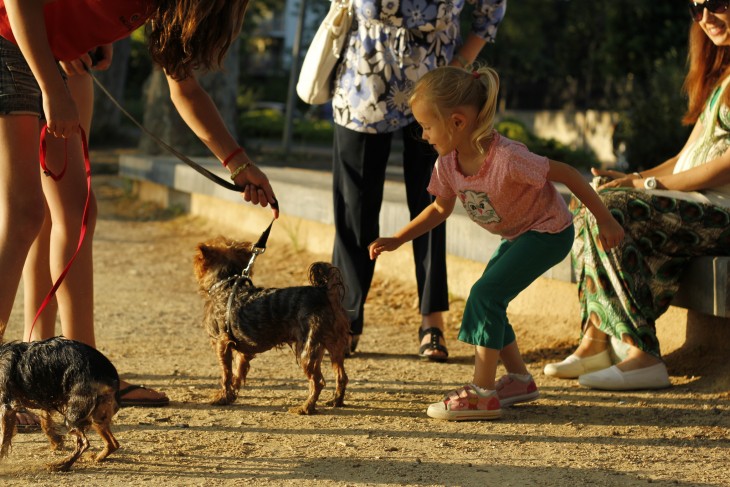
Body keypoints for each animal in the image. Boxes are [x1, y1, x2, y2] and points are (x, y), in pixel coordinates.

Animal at [193, 238, 346, 414]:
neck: (226, 285)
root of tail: (323, 291)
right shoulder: (243, 350)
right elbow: (237, 373)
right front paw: (231, 396)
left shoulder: (222, 343)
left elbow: (226, 374)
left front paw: (222, 397)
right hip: (335, 346)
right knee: (341, 376)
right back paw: (336, 401)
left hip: (307, 348)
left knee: (318, 381)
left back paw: (305, 408)